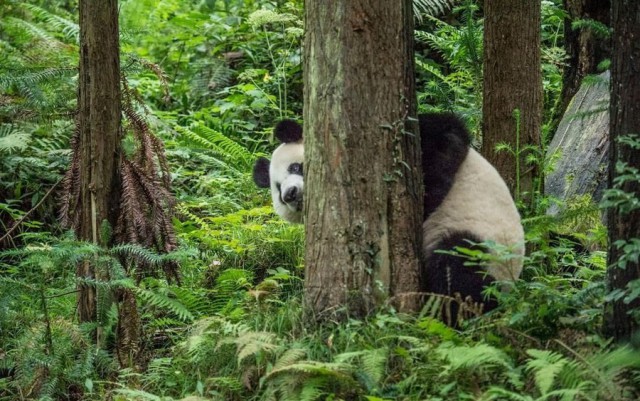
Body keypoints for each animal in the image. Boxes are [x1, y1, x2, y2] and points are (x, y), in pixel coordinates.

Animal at [252, 113, 524, 322]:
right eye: (277, 189)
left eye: (295, 167)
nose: (290, 193)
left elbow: (447, 135)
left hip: (489, 246)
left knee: (457, 266)